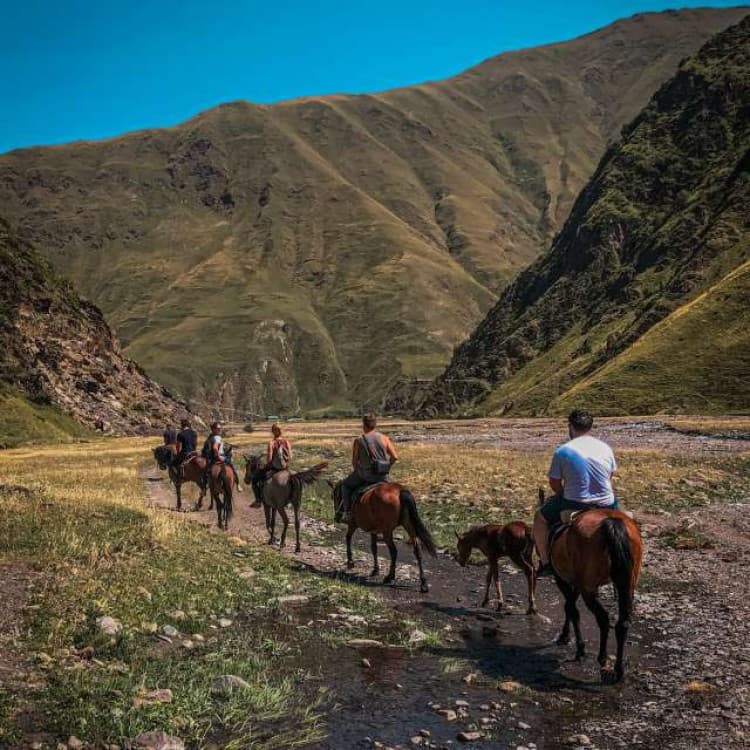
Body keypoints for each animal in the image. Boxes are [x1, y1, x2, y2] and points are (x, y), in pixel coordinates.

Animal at [540, 489, 644, 683]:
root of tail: (610, 521)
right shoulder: (576, 583)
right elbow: (569, 607)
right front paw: (566, 637)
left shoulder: (563, 579)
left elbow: (571, 609)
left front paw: (576, 646)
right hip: (627, 585)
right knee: (622, 623)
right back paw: (618, 669)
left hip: (588, 588)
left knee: (602, 618)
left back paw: (602, 658)